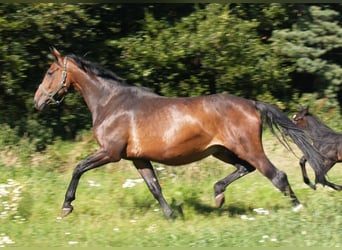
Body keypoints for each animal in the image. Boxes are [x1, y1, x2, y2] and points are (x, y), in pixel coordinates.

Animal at [34, 47, 326, 219]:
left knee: (276, 175)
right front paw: (171, 215)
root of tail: (252, 104)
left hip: (247, 148)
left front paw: (66, 206)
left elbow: (78, 169)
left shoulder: (110, 152)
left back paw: (298, 208)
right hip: (222, 151)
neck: (111, 102)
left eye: (49, 72)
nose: (37, 102)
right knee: (246, 169)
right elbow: (154, 186)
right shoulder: (138, 158)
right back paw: (218, 195)